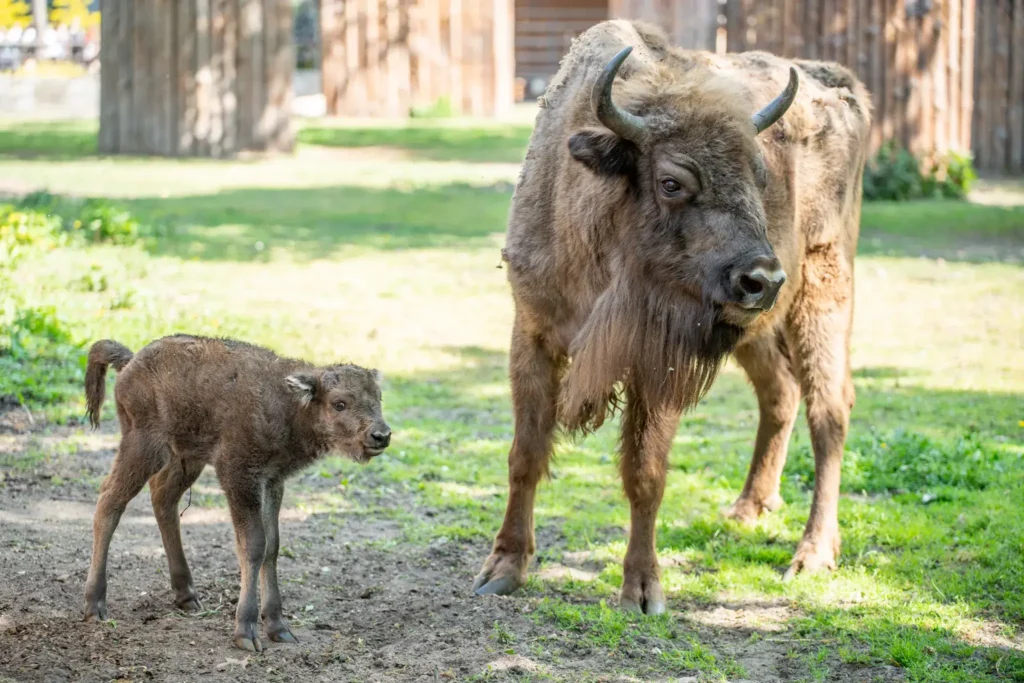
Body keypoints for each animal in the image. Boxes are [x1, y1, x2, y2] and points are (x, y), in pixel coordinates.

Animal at [80, 335, 387, 651]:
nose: (381, 435)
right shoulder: (239, 477)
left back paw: (187, 596)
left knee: (163, 497)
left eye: (379, 398)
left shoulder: (272, 481)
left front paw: (279, 627)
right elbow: (253, 545)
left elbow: (272, 546)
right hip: (144, 446)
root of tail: (130, 361)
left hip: (187, 458)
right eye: (339, 403)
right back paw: (95, 606)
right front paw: (246, 632)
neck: (289, 403)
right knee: (110, 501)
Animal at [473, 20, 872, 614]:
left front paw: (642, 590)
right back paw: (747, 508)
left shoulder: (655, 364)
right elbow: (525, 454)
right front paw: (503, 568)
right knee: (780, 393)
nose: (762, 279)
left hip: (825, 293)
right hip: (755, 330)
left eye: (759, 176)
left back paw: (812, 555)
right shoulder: (534, 334)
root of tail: (843, 87)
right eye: (671, 182)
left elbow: (645, 473)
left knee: (829, 411)